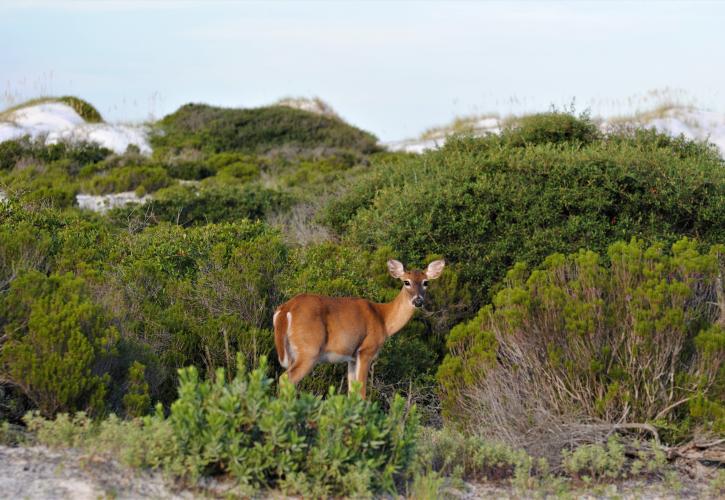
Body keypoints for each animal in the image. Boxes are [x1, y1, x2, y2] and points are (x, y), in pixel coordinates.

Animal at [270, 260, 442, 396]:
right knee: (286, 379)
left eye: (426, 282)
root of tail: (286, 309)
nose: (418, 301)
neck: (383, 319)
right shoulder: (366, 350)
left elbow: (352, 392)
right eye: (406, 282)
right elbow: (362, 394)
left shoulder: (351, 358)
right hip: (309, 349)